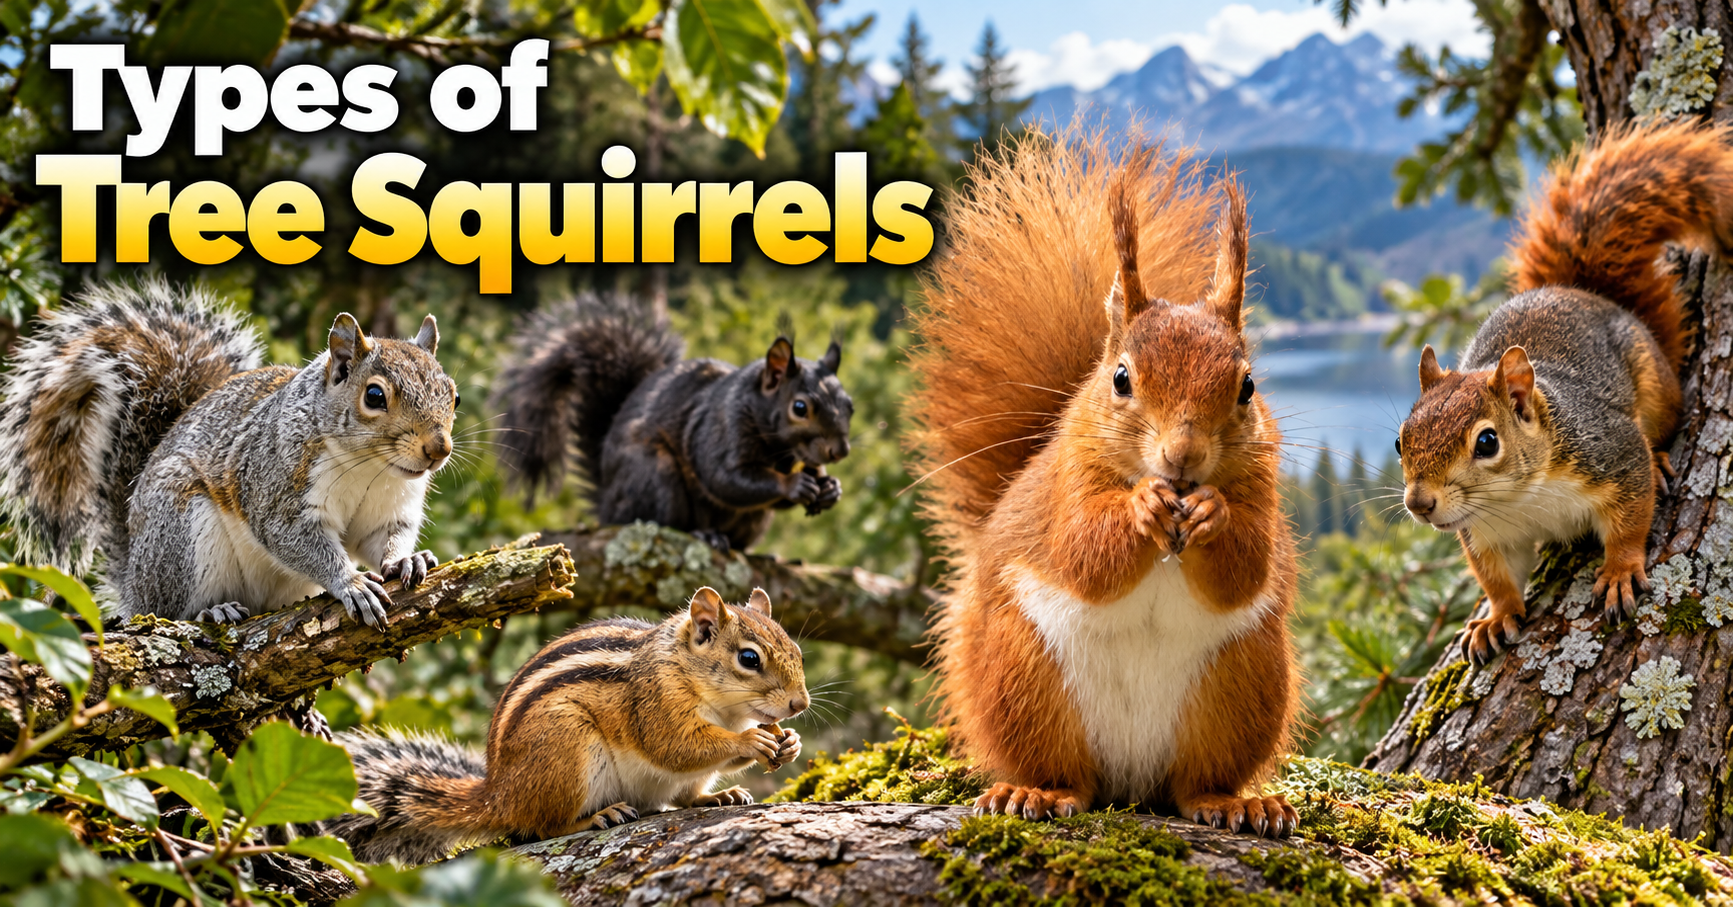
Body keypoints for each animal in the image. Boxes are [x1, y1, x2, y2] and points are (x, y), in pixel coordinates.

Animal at [0, 280, 455, 626]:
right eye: (375, 396)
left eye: (454, 395)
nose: (439, 449)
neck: (370, 468)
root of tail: (132, 582)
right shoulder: (277, 484)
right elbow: (295, 539)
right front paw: (351, 582)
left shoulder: (389, 508)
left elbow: (382, 537)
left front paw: (407, 560)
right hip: (180, 534)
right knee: (169, 611)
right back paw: (211, 611)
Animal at [328, 586, 807, 865]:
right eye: (749, 658)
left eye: (797, 650)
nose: (799, 704)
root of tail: (498, 796)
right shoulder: (655, 702)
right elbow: (676, 746)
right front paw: (750, 741)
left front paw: (790, 743)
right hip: (566, 747)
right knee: (542, 827)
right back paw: (597, 817)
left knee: (684, 796)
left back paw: (718, 796)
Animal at [492, 293, 853, 552]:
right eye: (800, 407)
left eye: (849, 405)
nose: (840, 452)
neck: (781, 452)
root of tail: (606, 507)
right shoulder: (718, 429)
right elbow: (726, 479)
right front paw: (792, 484)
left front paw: (830, 488)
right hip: (655, 478)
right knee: (662, 521)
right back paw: (703, 535)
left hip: (753, 520)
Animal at [907, 135, 1300, 837]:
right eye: (1121, 379)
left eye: (1248, 387)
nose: (1183, 457)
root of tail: (1132, 780)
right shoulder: (1067, 486)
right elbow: (1082, 553)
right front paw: (1141, 506)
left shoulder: (1264, 489)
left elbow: (1249, 566)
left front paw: (1213, 513)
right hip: (1024, 678)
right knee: (1065, 773)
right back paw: (1036, 792)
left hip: (1241, 684)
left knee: (1196, 783)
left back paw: (1234, 802)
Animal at [1397, 120, 1730, 663]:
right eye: (1400, 441)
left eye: (1487, 442)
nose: (1419, 504)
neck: (1520, 497)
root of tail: (1585, 294)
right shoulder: (1486, 534)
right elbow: (1496, 578)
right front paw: (1497, 617)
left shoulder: (1610, 451)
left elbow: (1630, 520)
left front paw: (1619, 572)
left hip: (1655, 389)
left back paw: (1660, 457)